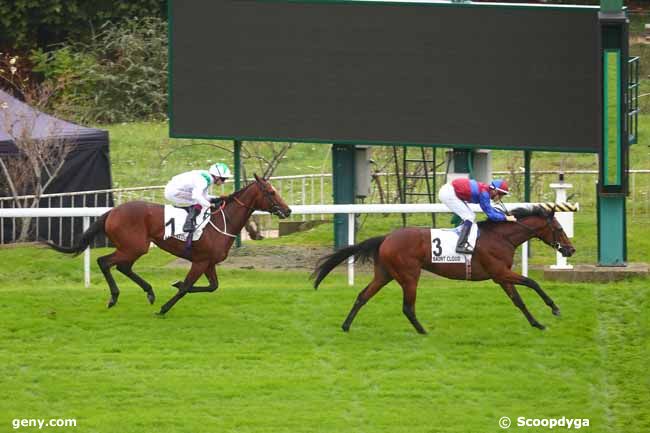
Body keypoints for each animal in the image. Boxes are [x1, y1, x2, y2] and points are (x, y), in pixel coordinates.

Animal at [45, 175, 288, 314]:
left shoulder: (209, 263)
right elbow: (188, 287)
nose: (287, 211)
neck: (222, 221)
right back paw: (115, 297)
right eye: (270, 192)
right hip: (134, 247)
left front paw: (174, 285)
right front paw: (165, 306)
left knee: (123, 266)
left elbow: (212, 287)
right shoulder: (200, 261)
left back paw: (149, 292)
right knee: (105, 262)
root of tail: (112, 212)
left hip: (133, 248)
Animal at [312, 204, 576, 332]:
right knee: (407, 307)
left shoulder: (501, 277)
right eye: (559, 229)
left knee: (363, 296)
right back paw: (423, 331)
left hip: (385, 274)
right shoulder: (500, 272)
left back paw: (346, 326)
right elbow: (533, 282)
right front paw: (554, 308)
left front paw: (537, 323)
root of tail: (386, 237)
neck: (502, 237)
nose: (570, 250)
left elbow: (518, 301)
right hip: (409, 275)